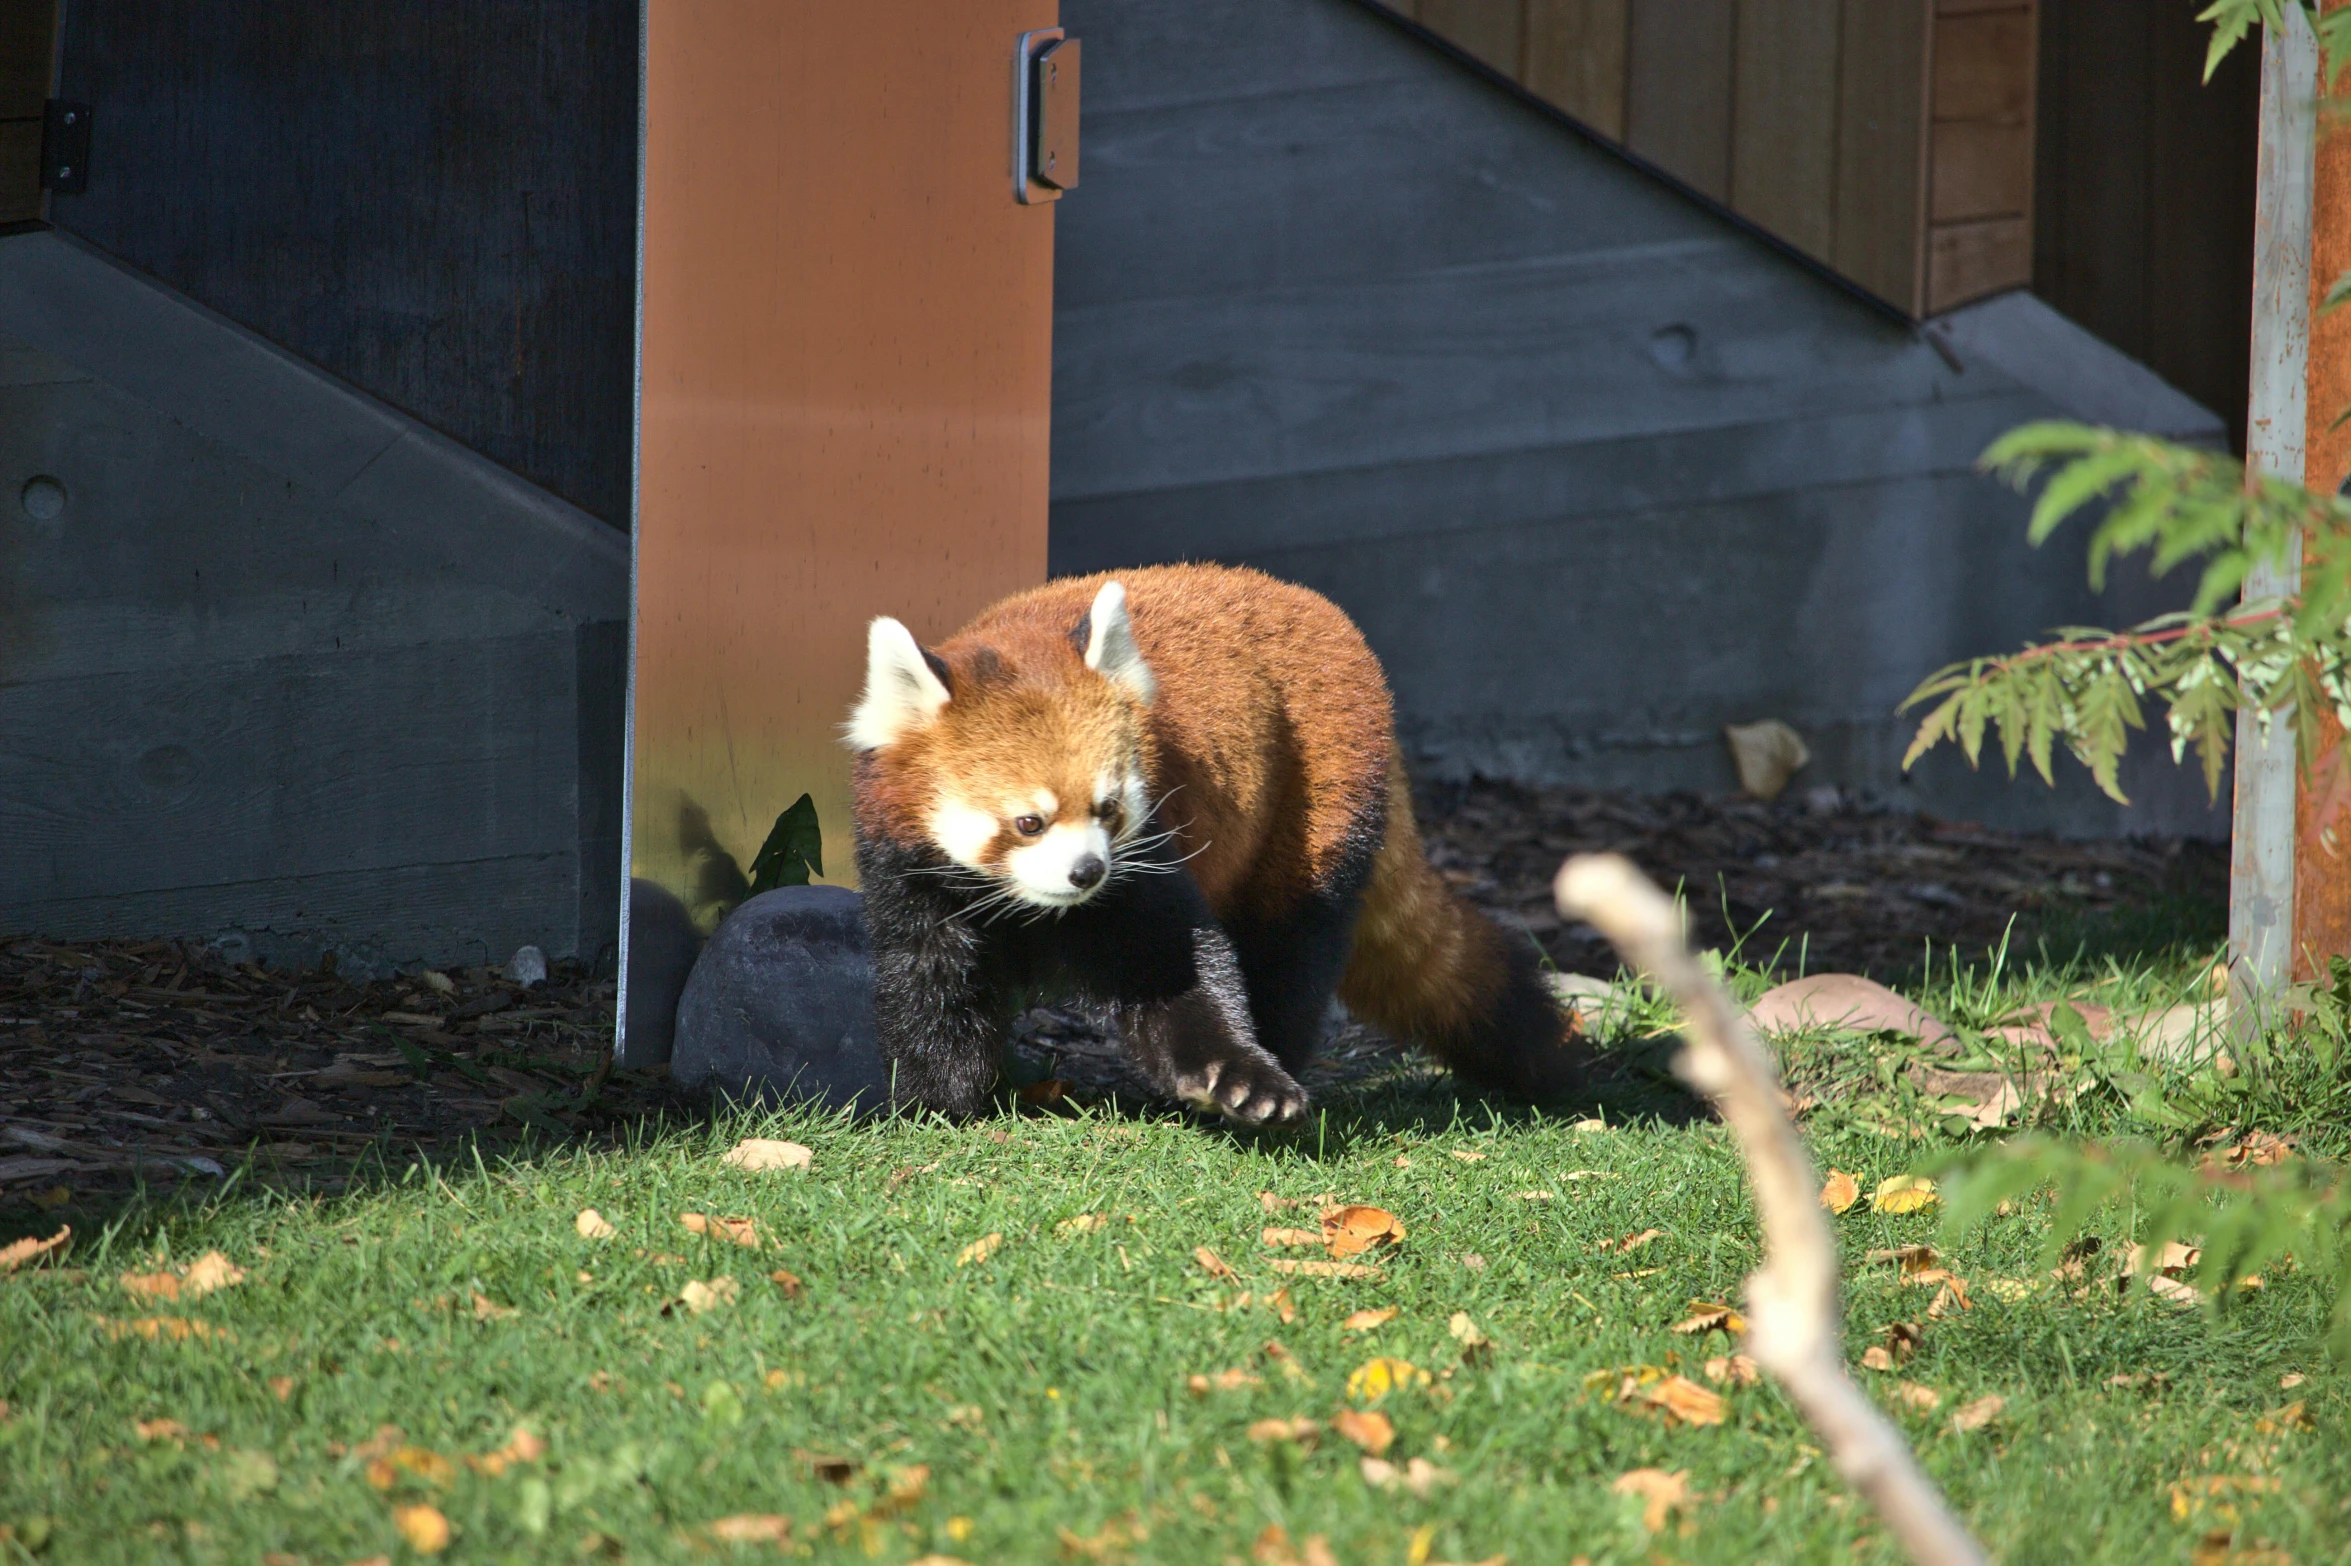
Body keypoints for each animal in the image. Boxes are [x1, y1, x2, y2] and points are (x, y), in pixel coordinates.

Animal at [836, 554, 1589, 1114]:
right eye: (1029, 822)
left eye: (1108, 808)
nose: (1087, 872)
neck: (1033, 908)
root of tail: (1320, 609)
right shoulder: (912, 874)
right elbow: (929, 986)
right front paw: (938, 1104)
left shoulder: (1144, 864)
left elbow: (1174, 966)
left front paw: (1239, 1079)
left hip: (1314, 787)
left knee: (1291, 947)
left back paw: (1277, 1050)